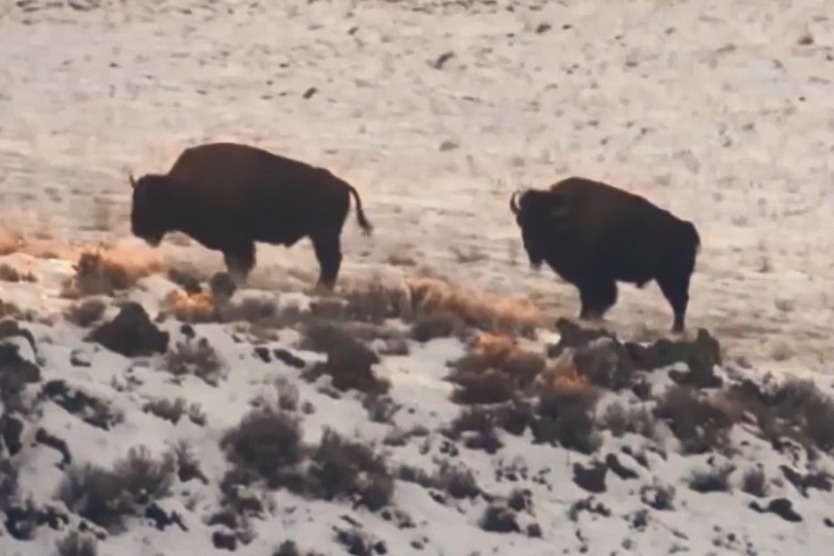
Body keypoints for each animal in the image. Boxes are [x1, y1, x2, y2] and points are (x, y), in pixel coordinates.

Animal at [127, 141, 374, 292]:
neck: (179, 189)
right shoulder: (235, 244)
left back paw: (319, 290)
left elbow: (241, 265)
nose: (136, 229)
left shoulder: (238, 242)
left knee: (330, 261)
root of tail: (342, 184)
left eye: (149, 203)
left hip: (323, 235)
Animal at [510, 176, 700, 332]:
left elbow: (599, 298)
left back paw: (676, 330)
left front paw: (587, 317)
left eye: (543, 223)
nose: (531, 247)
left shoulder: (595, 278)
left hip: (672, 279)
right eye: (522, 221)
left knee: (679, 301)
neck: (566, 220)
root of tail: (687, 229)